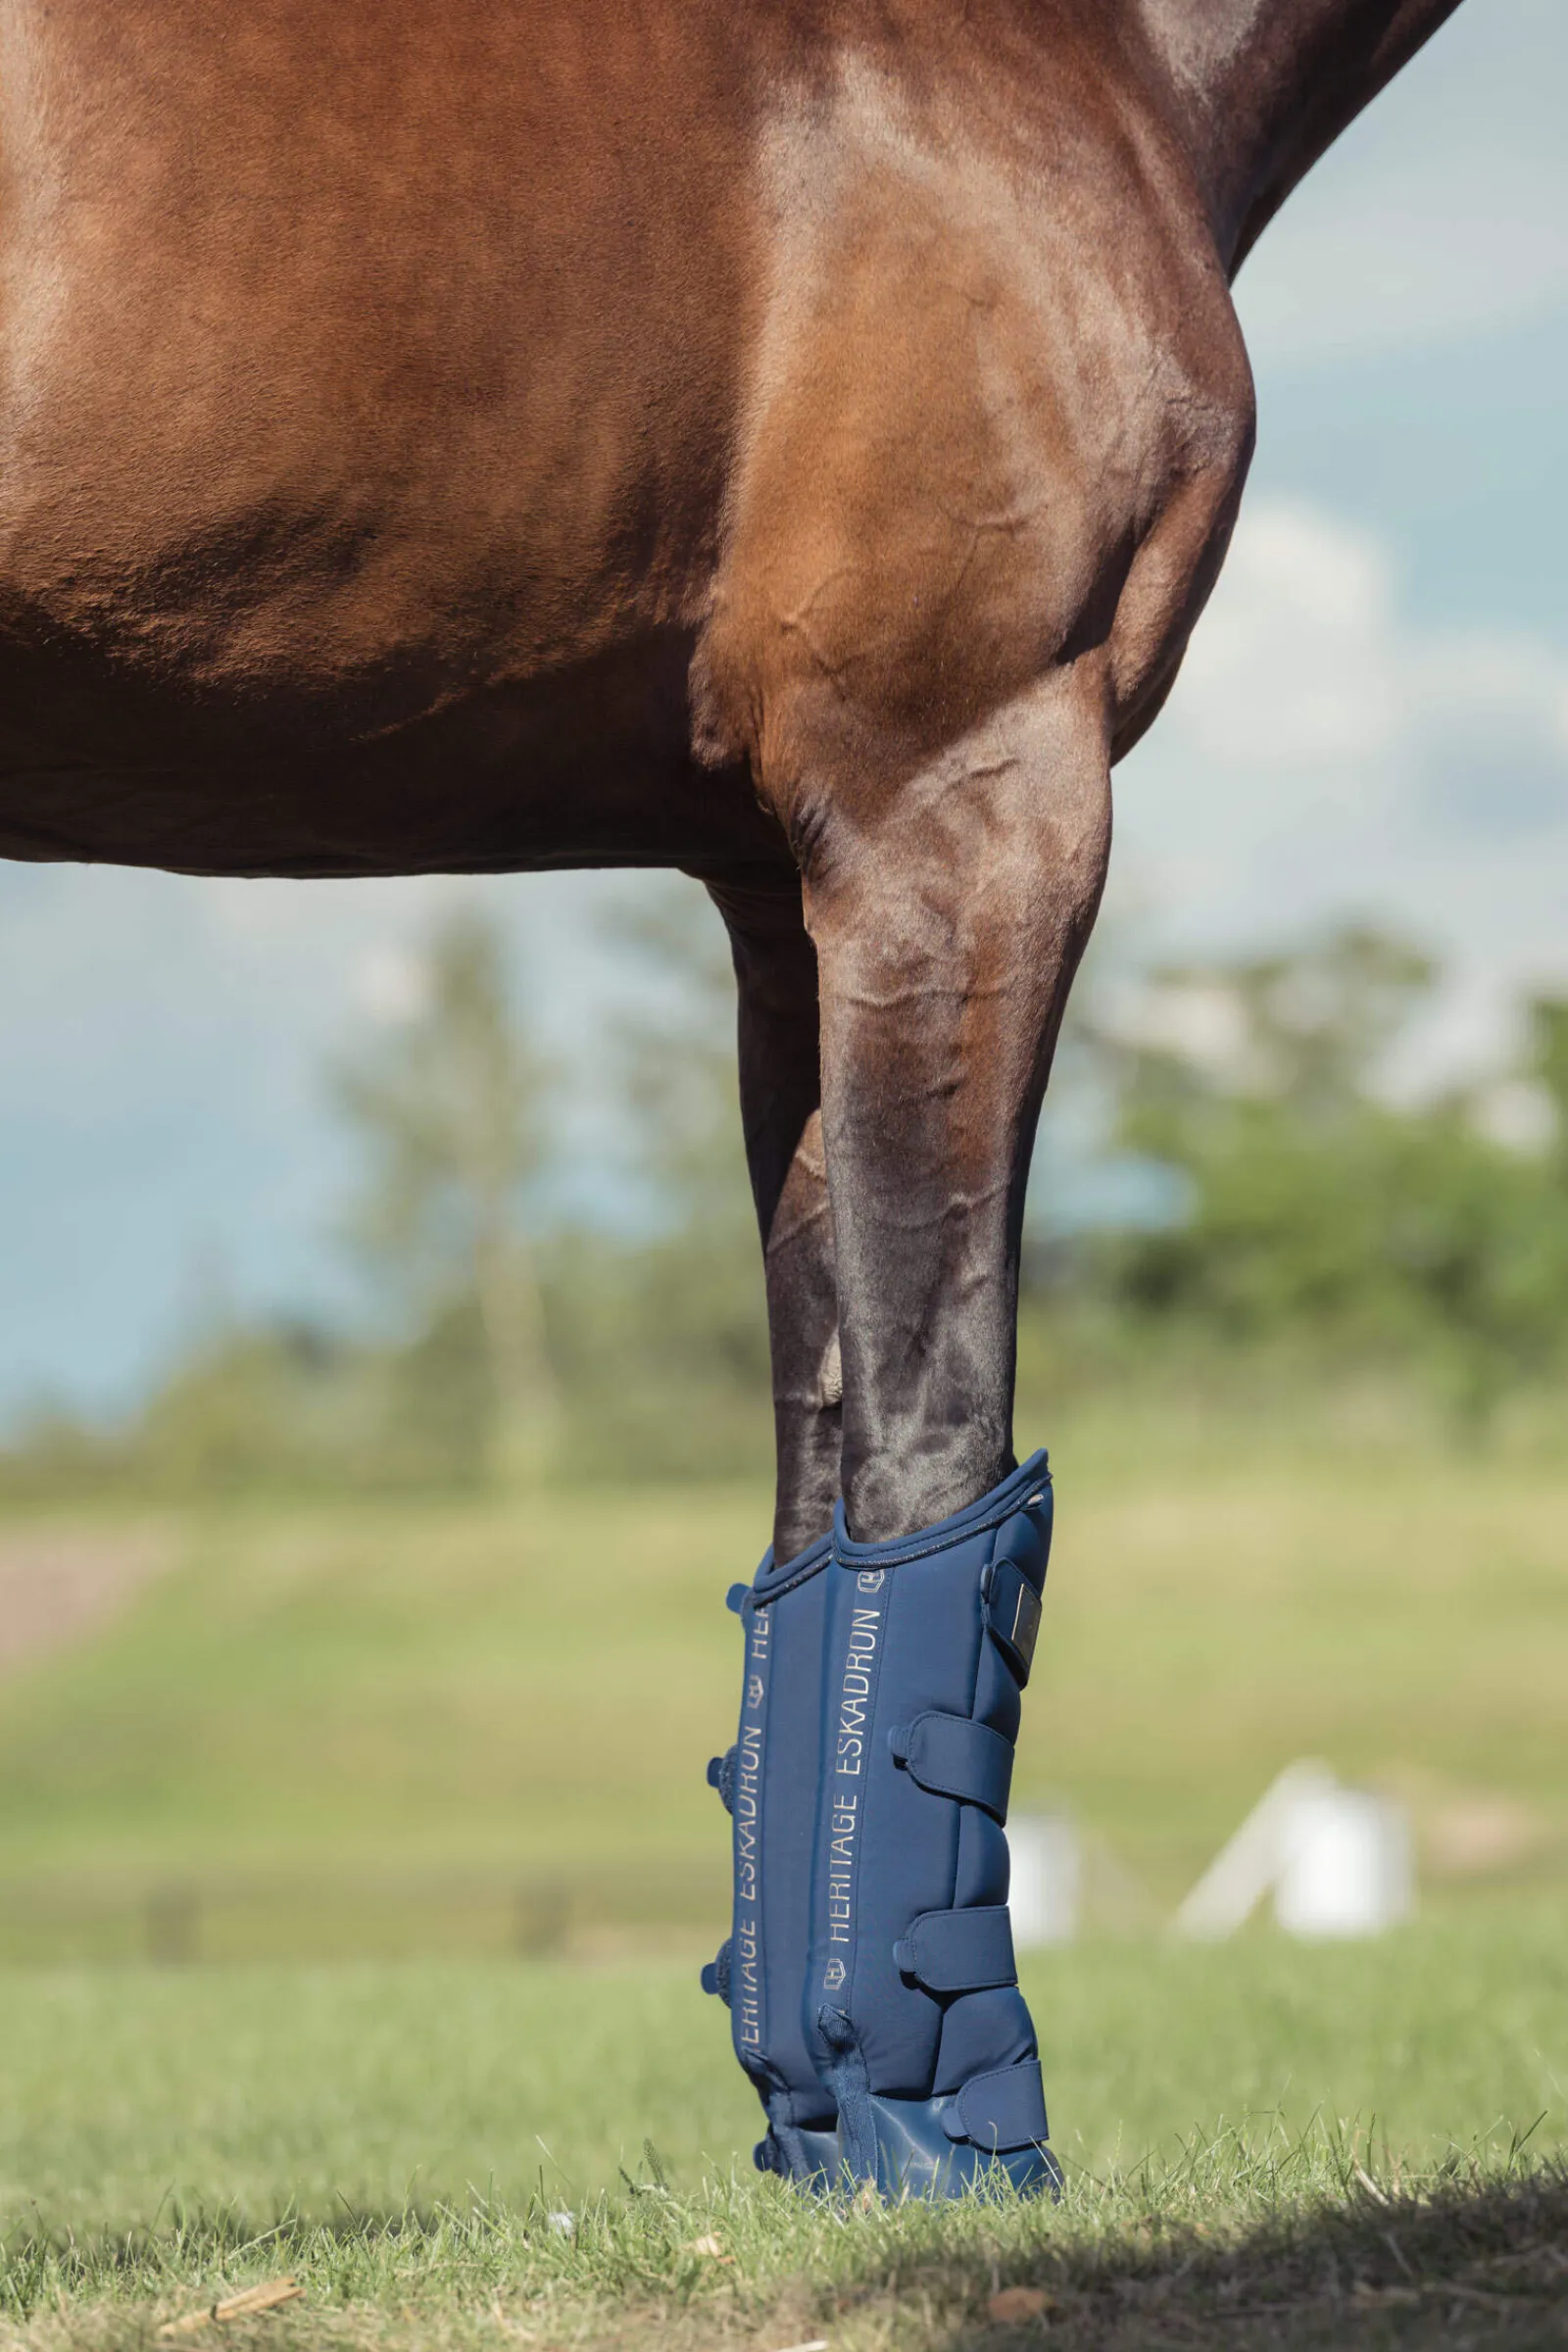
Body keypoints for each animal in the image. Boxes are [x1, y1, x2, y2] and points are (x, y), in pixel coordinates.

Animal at [0, 0, 1467, 2192]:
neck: (1076, 59)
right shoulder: (966, 787)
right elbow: (943, 1443)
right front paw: (956, 2153)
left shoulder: (782, 881)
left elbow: (817, 1485)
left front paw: (834, 2137)